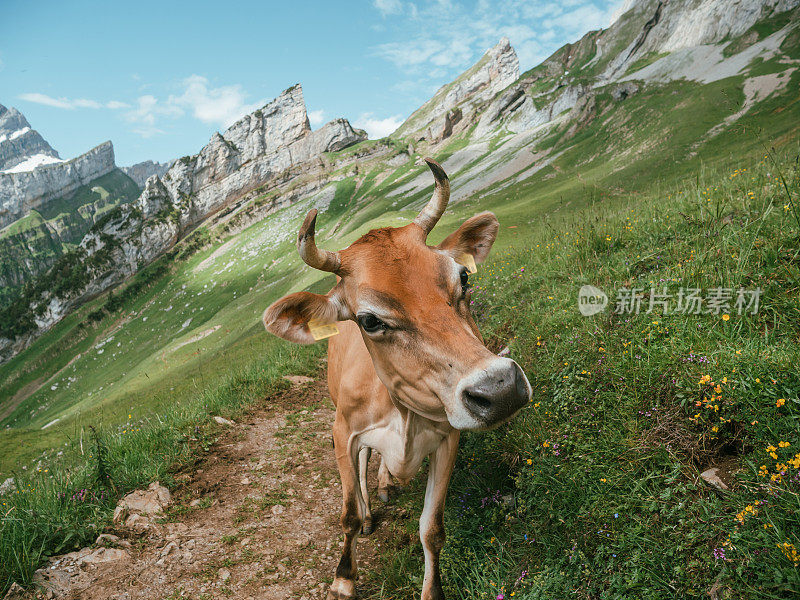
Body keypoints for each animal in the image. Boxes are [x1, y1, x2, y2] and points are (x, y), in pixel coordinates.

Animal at [264, 159, 532, 600]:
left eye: (464, 278)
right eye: (369, 320)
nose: (500, 388)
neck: (402, 413)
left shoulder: (448, 438)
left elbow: (432, 530)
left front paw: (432, 590)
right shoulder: (344, 433)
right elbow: (349, 514)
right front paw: (343, 578)